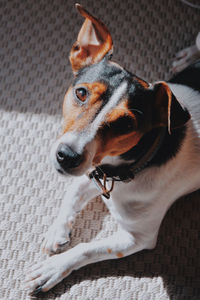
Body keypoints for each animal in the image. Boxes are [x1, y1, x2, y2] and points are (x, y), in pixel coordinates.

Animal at [25, 4, 200, 296]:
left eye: (125, 124)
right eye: (81, 93)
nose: (66, 157)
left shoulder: (137, 237)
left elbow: (85, 249)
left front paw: (52, 269)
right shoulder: (93, 170)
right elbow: (71, 193)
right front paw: (57, 231)